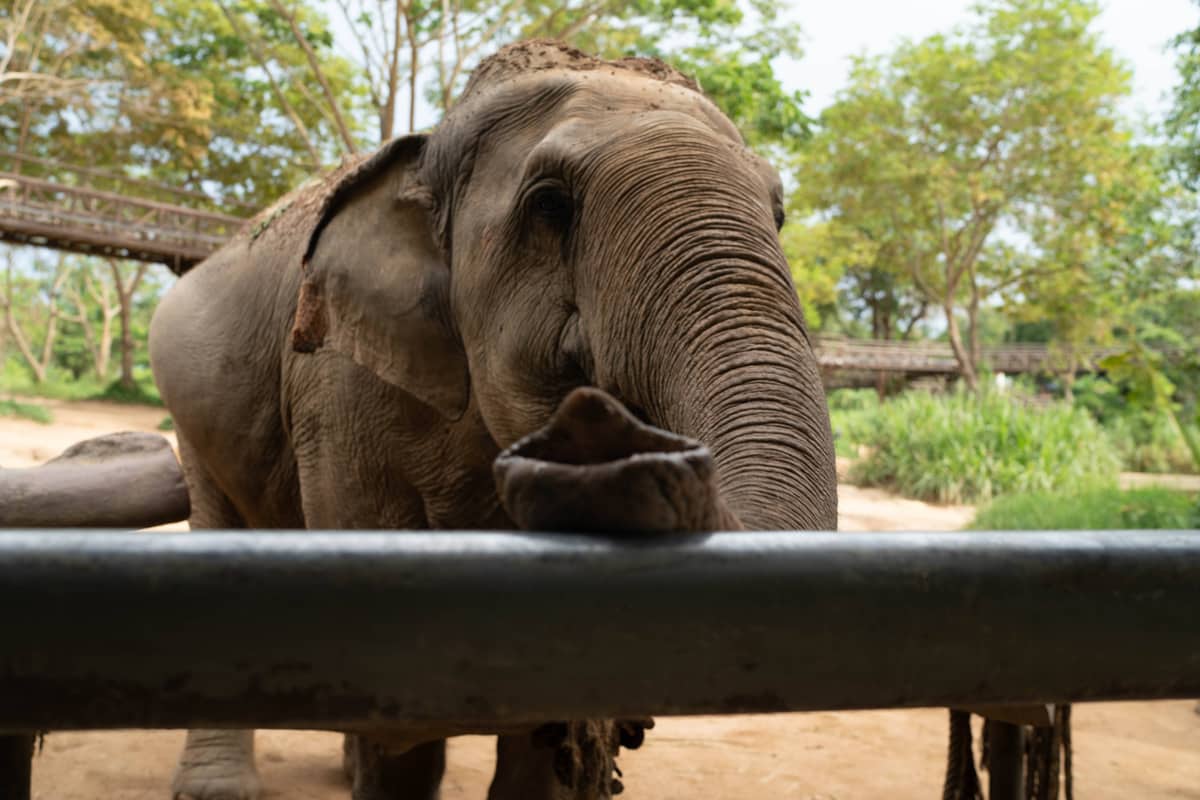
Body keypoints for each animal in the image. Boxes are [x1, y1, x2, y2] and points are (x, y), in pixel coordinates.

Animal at [149, 38, 837, 800]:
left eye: (778, 213)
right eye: (551, 205)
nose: (603, 424)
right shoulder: (335, 389)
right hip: (191, 419)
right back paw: (219, 786)